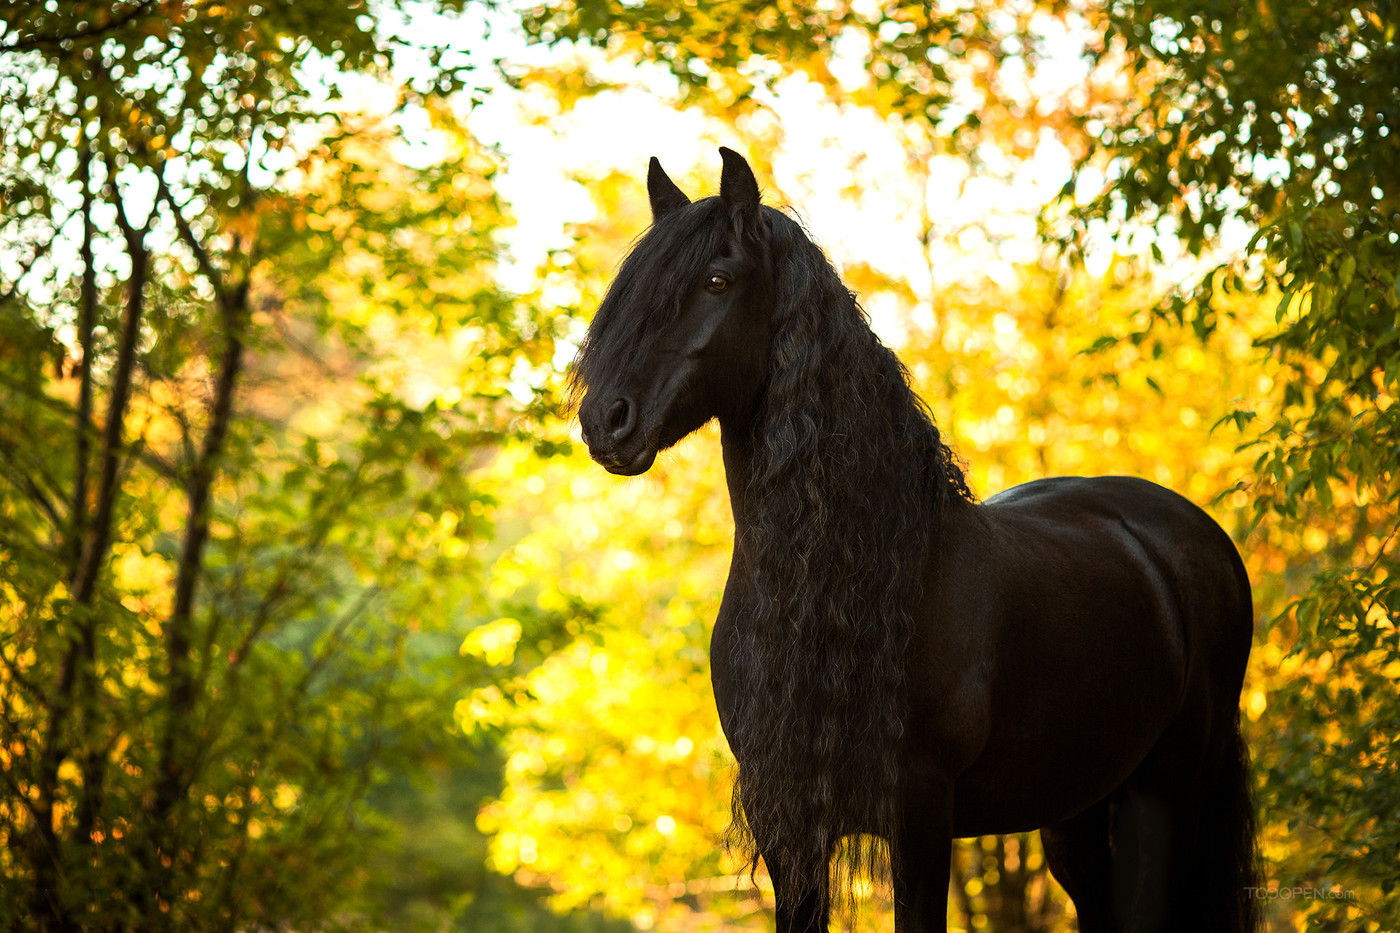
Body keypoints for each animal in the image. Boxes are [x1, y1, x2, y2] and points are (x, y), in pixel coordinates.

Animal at [568, 149, 1260, 924]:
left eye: (717, 280)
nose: (607, 420)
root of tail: (1191, 535)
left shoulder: (920, 815)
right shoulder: (790, 827)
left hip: (1163, 799)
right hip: (1078, 810)